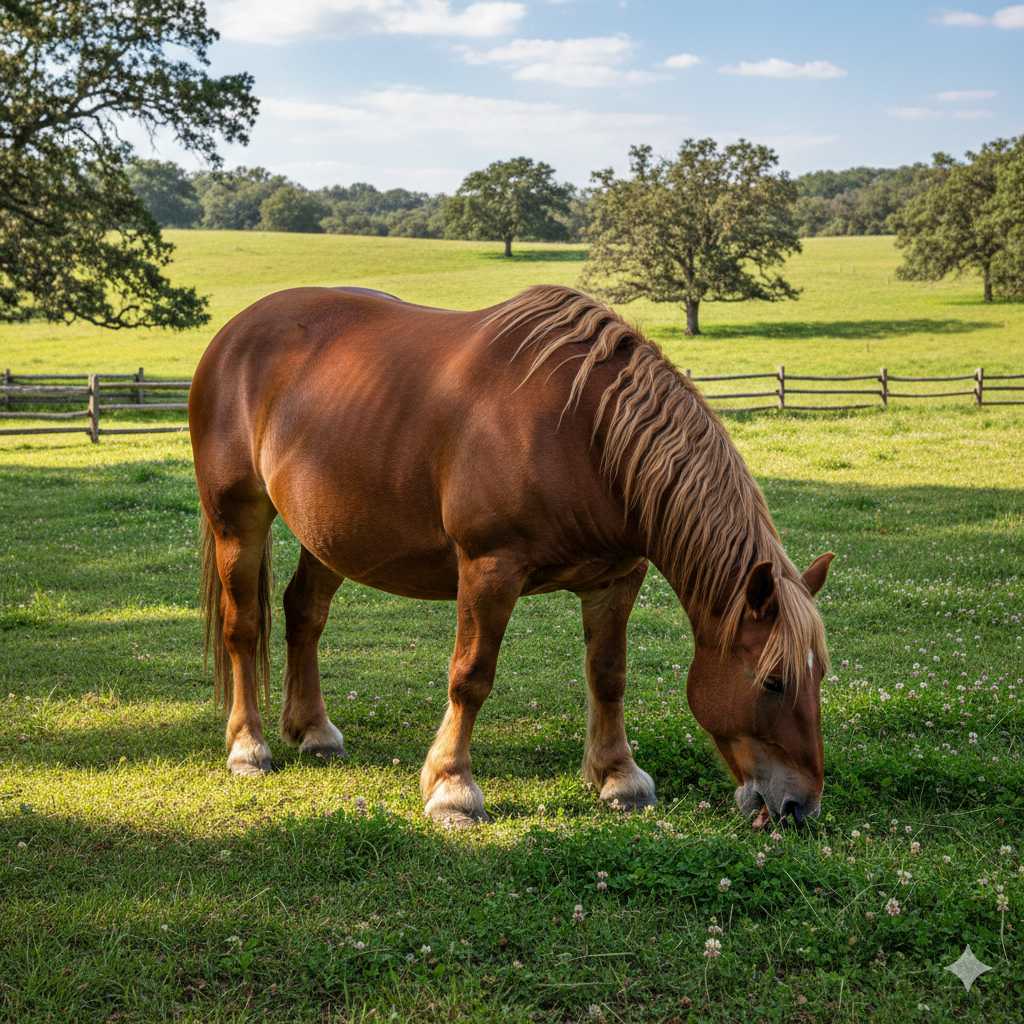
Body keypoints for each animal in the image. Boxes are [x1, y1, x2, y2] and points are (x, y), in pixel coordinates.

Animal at [189, 284, 833, 829]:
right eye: (773, 681)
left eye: (819, 675)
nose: (799, 806)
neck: (583, 432)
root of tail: (233, 334)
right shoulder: (489, 570)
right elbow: (471, 677)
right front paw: (452, 788)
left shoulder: (617, 579)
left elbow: (609, 676)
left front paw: (618, 777)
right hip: (238, 522)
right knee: (244, 628)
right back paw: (249, 746)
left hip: (329, 534)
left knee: (304, 614)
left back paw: (314, 732)